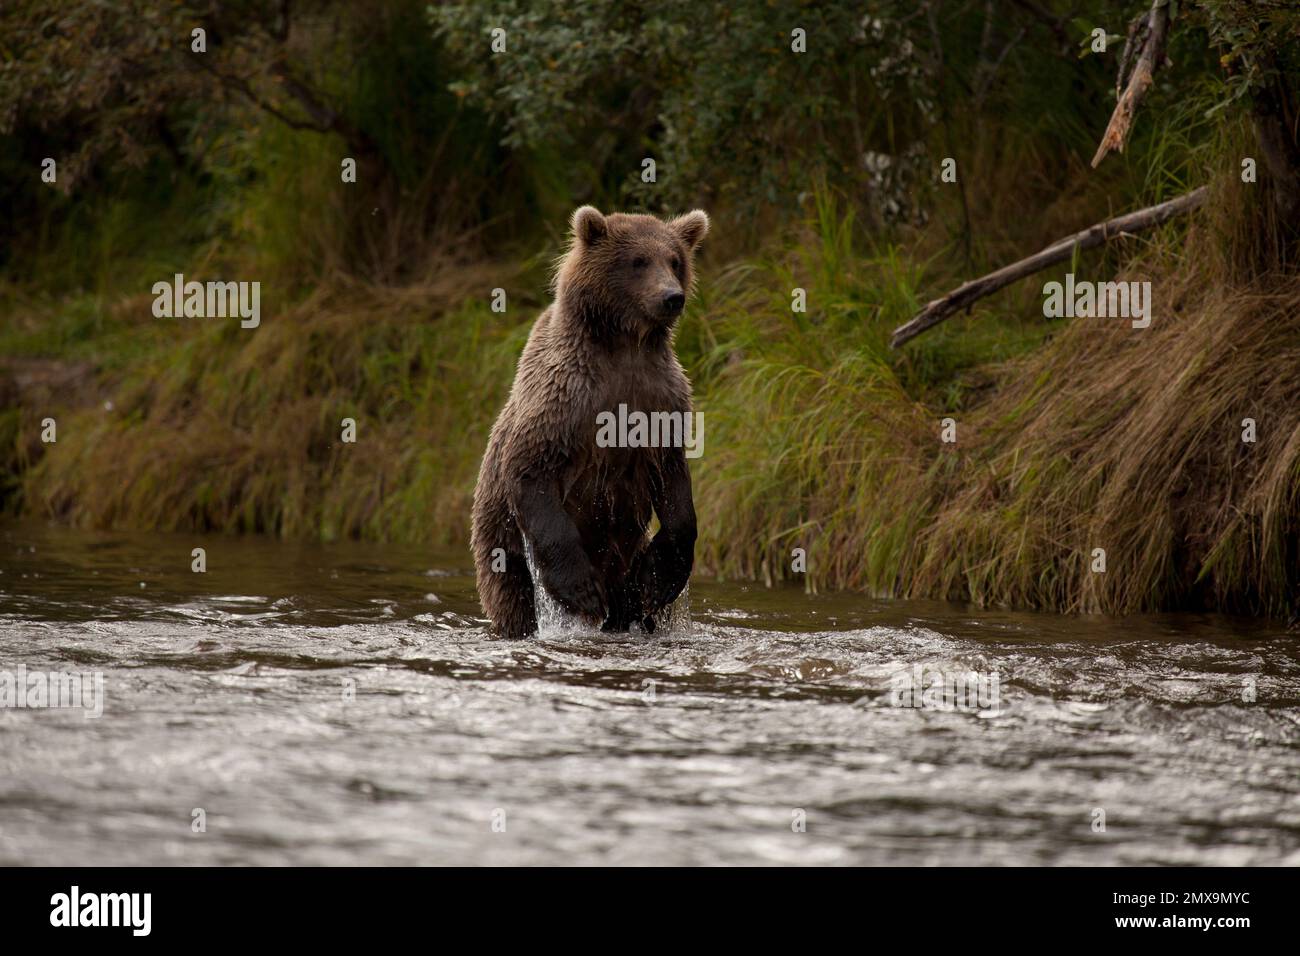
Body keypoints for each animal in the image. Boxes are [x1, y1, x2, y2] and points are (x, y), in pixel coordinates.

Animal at [470, 205, 710, 639]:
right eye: (638, 261)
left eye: (675, 260)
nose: (672, 297)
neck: (625, 346)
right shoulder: (564, 399)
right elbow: (531, 470)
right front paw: (581, 590)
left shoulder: (662, 401)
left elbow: (676, 492)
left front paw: (659, 577)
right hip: (499, 541)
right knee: (511, 595)